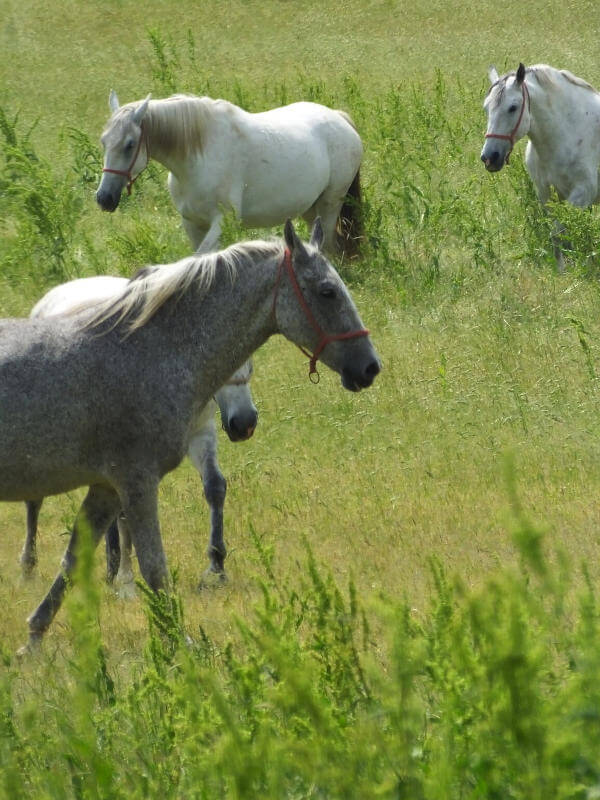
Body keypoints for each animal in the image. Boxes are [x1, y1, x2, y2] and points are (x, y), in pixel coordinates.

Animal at [22, 276, 258, 588]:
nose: (244, 423)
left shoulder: (200, 431)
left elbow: (214, 487)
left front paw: (217, 565)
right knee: (34, 502)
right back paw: (29, 569)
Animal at [480, 62, 600, 268]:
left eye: (513, 107)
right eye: (486, 108)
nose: (489, 157)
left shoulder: (583, 193)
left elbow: (559, 231)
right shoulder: (546, 193)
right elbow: (558, 234)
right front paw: (562, 267)